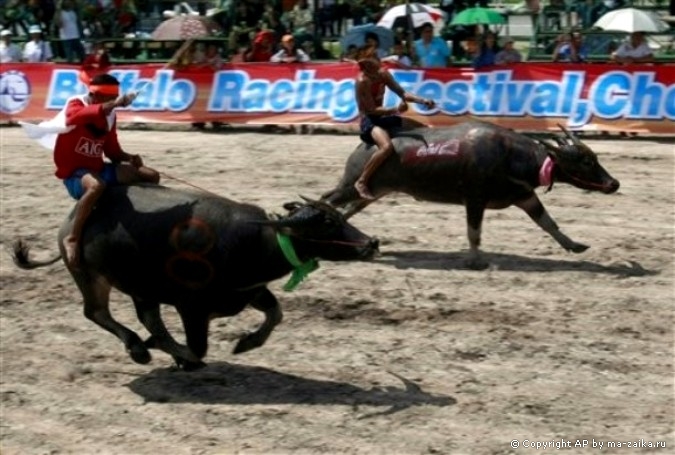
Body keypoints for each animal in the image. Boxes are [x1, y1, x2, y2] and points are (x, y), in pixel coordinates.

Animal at [13, 185, 380, 370]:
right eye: (327, 224)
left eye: (339, 217)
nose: (371, 243)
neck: (252, 242)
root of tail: (72, 219)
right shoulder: (192, 308)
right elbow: (199, 348)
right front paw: (165, 349)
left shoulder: (249, 291)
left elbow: (276, 314)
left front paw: (246, 343)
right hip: (90, 276)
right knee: (96, 312)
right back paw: (140, 348)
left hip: (141, 287)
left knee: (146, 316)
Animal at [320, 121, 616, 270]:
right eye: (586, 161)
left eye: (593, 157)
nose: (614, 184)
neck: (509, 156)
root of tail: (365, 146)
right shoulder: (474, 200)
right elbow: (474, 232)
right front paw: (475, 260)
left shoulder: (525, 196)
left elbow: (548, 222)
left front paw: (574, 245)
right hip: (350, 185)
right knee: (328, 201)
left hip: (372, 192)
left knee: (346, 210)